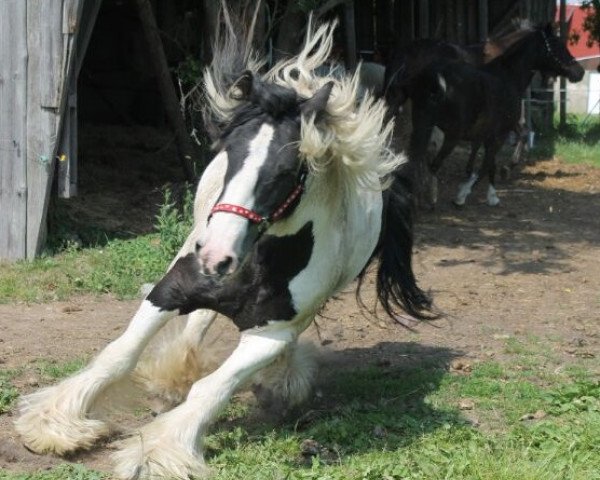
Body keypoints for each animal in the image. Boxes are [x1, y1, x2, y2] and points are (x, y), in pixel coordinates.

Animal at [14, 15, 432, 480]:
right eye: (228, 153)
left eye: (287, 170)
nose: (215, 257)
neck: (259, 261)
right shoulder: (168, 291)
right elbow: (118, 355)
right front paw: (53, 424)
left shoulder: (269, 335)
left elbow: (211, 389)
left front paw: (155, 453)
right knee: (197, 321)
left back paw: (278, 382)